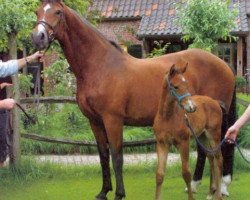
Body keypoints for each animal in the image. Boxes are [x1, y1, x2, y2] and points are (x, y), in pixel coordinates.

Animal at [154, 64, 223, 200]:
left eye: (186, 84)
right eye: (176, 86)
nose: (192, 107)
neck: (167, 117)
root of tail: (215, 102)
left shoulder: (183, 142)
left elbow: (186, 173)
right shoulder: (162, 143)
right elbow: (159, 175)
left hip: (214, 135)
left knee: (219, 159)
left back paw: (219, 194)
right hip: (202, 137)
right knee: (211, 157)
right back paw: (210, 192)